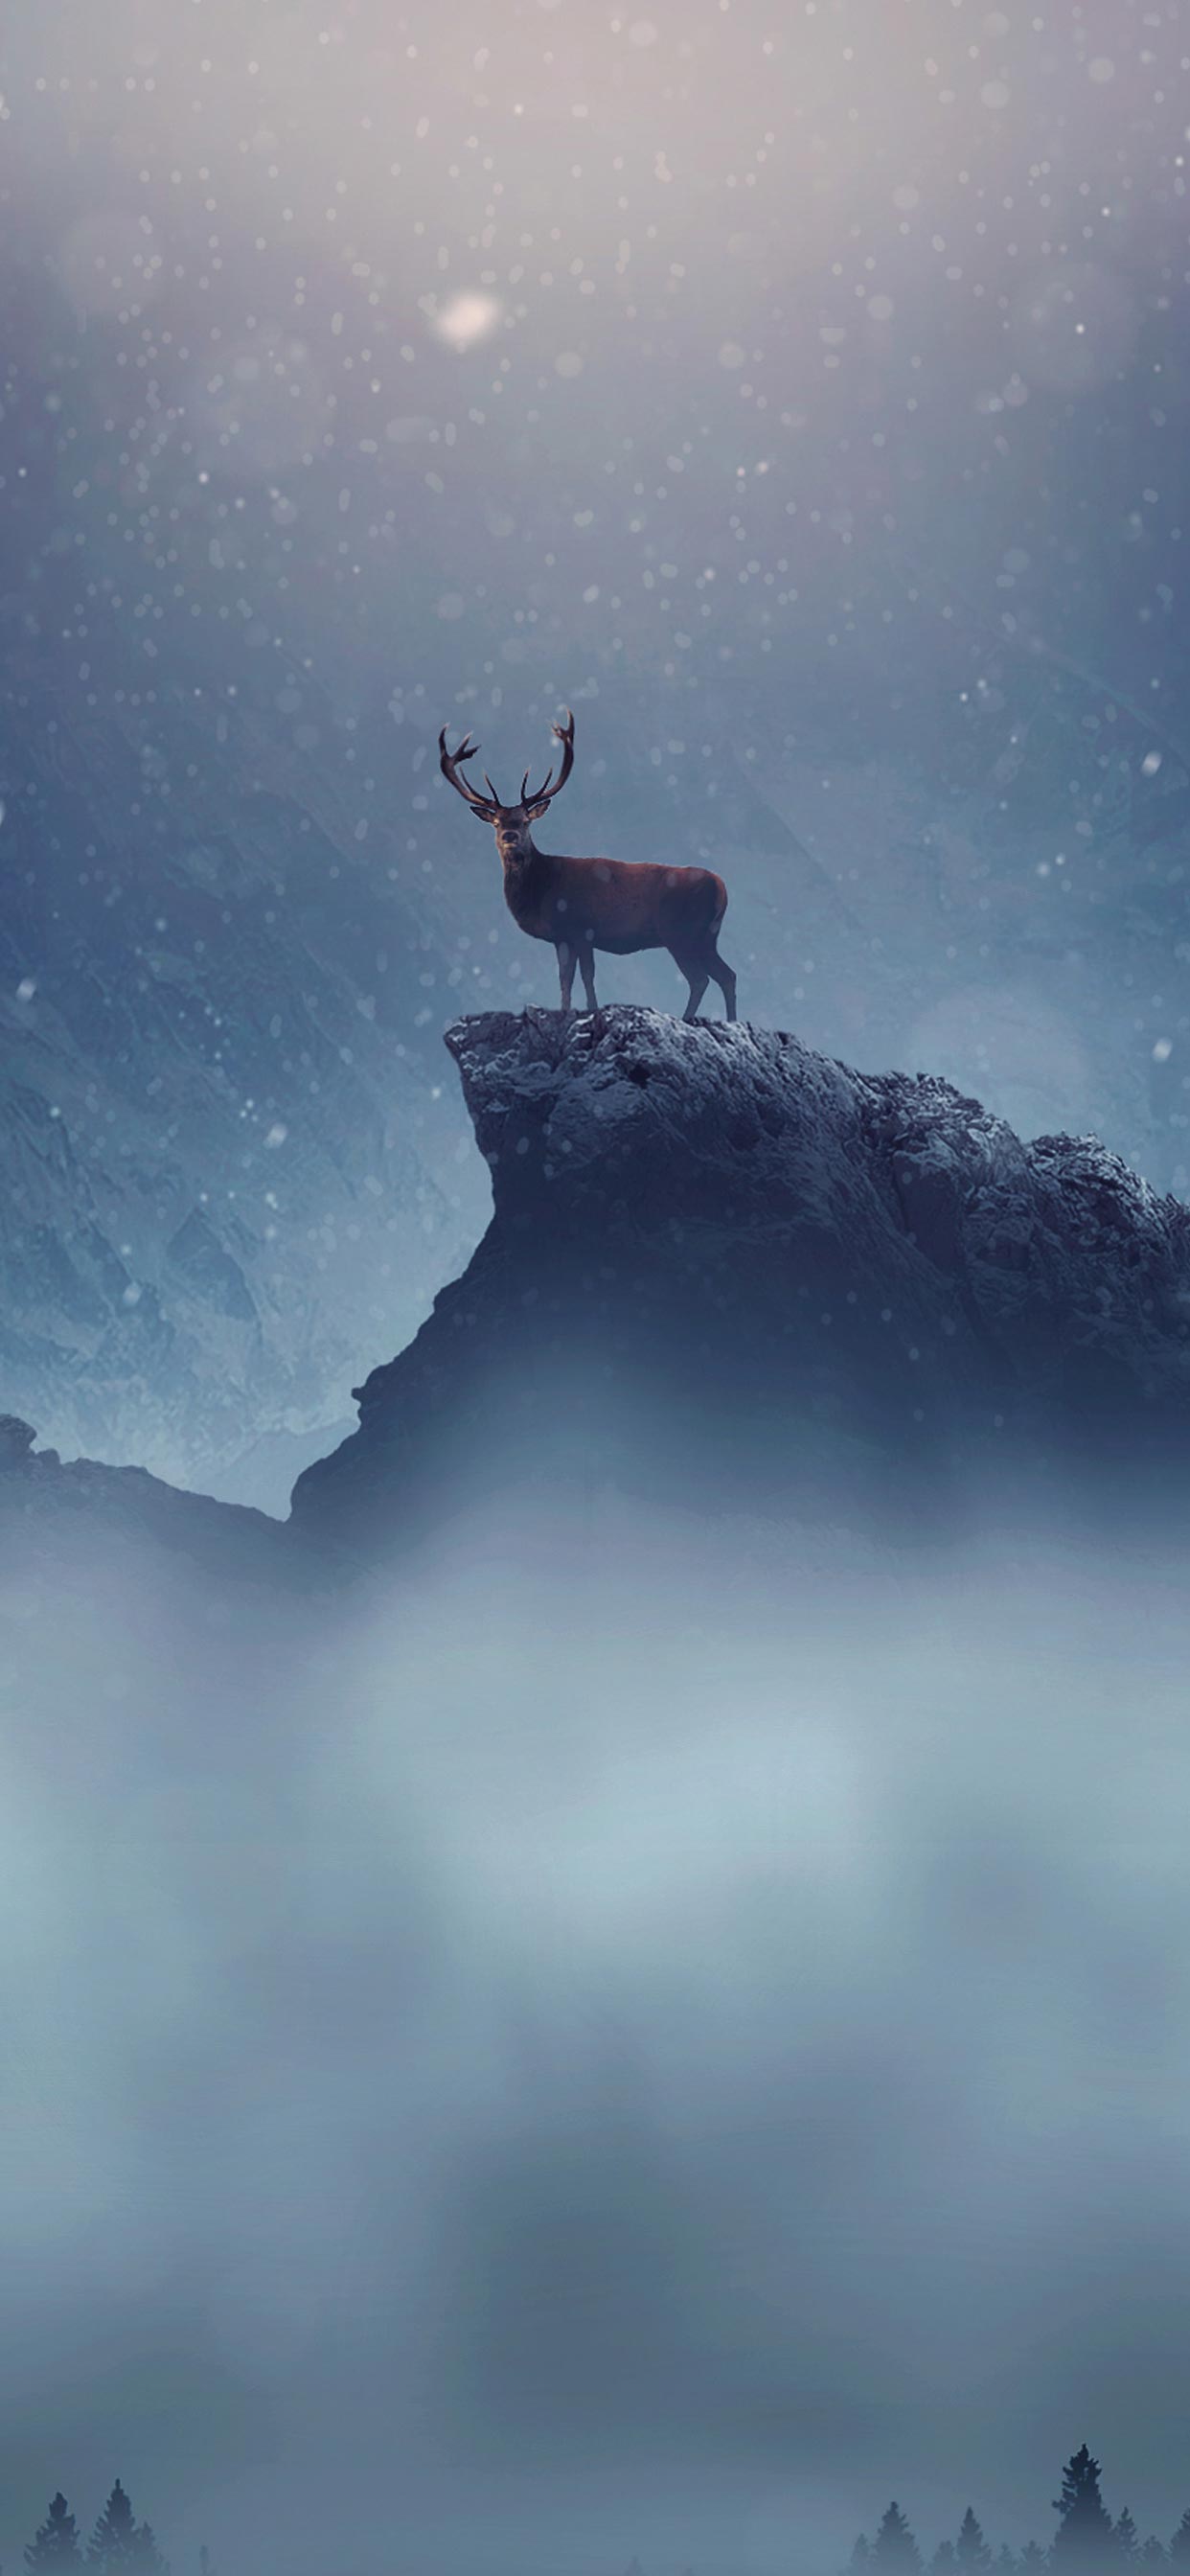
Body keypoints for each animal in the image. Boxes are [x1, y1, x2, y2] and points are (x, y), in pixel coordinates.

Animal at [437, 707, 738, 1022]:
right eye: (496, 822)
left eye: (525, 820)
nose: (510, 835)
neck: (541, 890)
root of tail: (721, 888)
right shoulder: (562, 937)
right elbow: (565, 978)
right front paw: (565, 1010)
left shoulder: (581, 928)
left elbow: (586, 976)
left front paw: (591, 1011)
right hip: (708, 935)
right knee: (726, 975)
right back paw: (731, 1020)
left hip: (679, 932)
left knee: (700, 979)